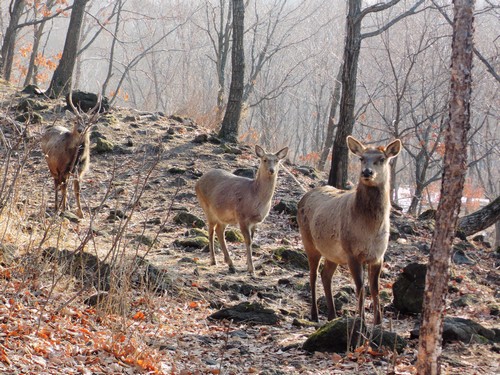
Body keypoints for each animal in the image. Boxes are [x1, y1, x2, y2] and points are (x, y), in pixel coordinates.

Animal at [195, 145, 290, 274]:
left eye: (276, 160)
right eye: (264, 159)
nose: (271, 170)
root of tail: (197, 182)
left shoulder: (255, 222)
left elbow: (252, 240)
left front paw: (247, 264)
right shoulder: (242, 217)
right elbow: (248, 241)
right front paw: (251, 269)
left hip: (224, 216)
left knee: (219, 230)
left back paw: (230, 264)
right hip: (208, 209)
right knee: (210, 231)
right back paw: (213, 260)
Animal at [296, 136, 402, 326]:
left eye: (382, 159)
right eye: (361, 158)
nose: (367, 172)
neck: (369, 231)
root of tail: (303, 197)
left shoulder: (378, 256)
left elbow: (375, 289)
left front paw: (378, 322)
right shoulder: (352, 253)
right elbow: (360, 288)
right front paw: (361, 320)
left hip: (333, 253)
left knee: (325, 275)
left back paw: (332, 315)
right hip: (309, 241)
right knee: (313, 275)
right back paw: (315, 315)